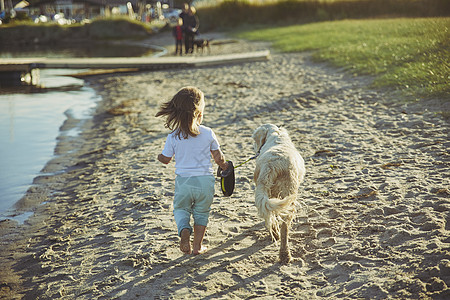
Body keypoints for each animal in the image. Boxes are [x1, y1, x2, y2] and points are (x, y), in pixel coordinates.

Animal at [253, 123, 306, 262]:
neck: (276, 135)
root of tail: (271, 165)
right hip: (288, 194)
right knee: (284, 227)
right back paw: (285, 254)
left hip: (267, 191)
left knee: (269, 215)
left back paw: (275, 236)